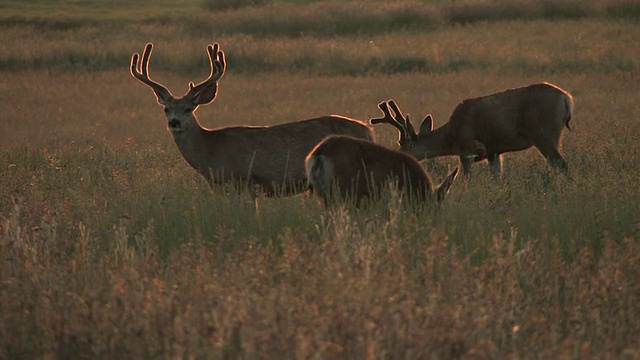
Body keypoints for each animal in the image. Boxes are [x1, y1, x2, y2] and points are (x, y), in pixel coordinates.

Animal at [129, 44, 372, 200]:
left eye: (189, 108)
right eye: (166, 109)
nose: (175, 122)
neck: (211, 151)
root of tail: (367, 130)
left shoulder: (243, 181)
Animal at [370, 81, 576, 177]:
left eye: (404, 143)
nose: (398, 155)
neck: (451, 136)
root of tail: (566, 98)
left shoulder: (466, 149)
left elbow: (467, 178)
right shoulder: (494, 152)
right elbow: (496, 177)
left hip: (543, 133)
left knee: (562, 164)